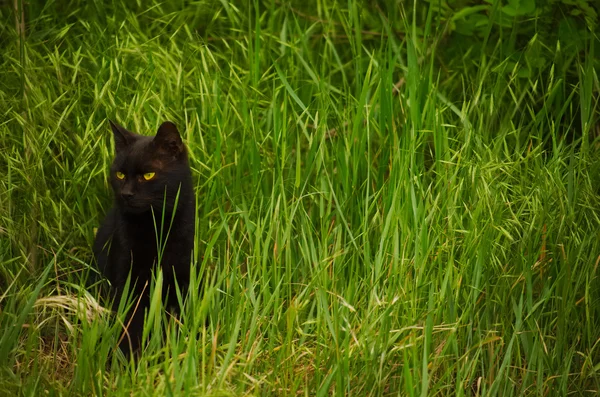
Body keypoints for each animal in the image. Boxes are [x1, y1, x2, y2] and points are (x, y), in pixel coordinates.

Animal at [94, 119, 196, 354]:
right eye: (120, 174)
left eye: (148, 175)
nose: (126, 194)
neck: (155, 227)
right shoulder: (127, 278)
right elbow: (131, 325)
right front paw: (130, 358)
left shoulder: (180, 278)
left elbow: (175, 321)